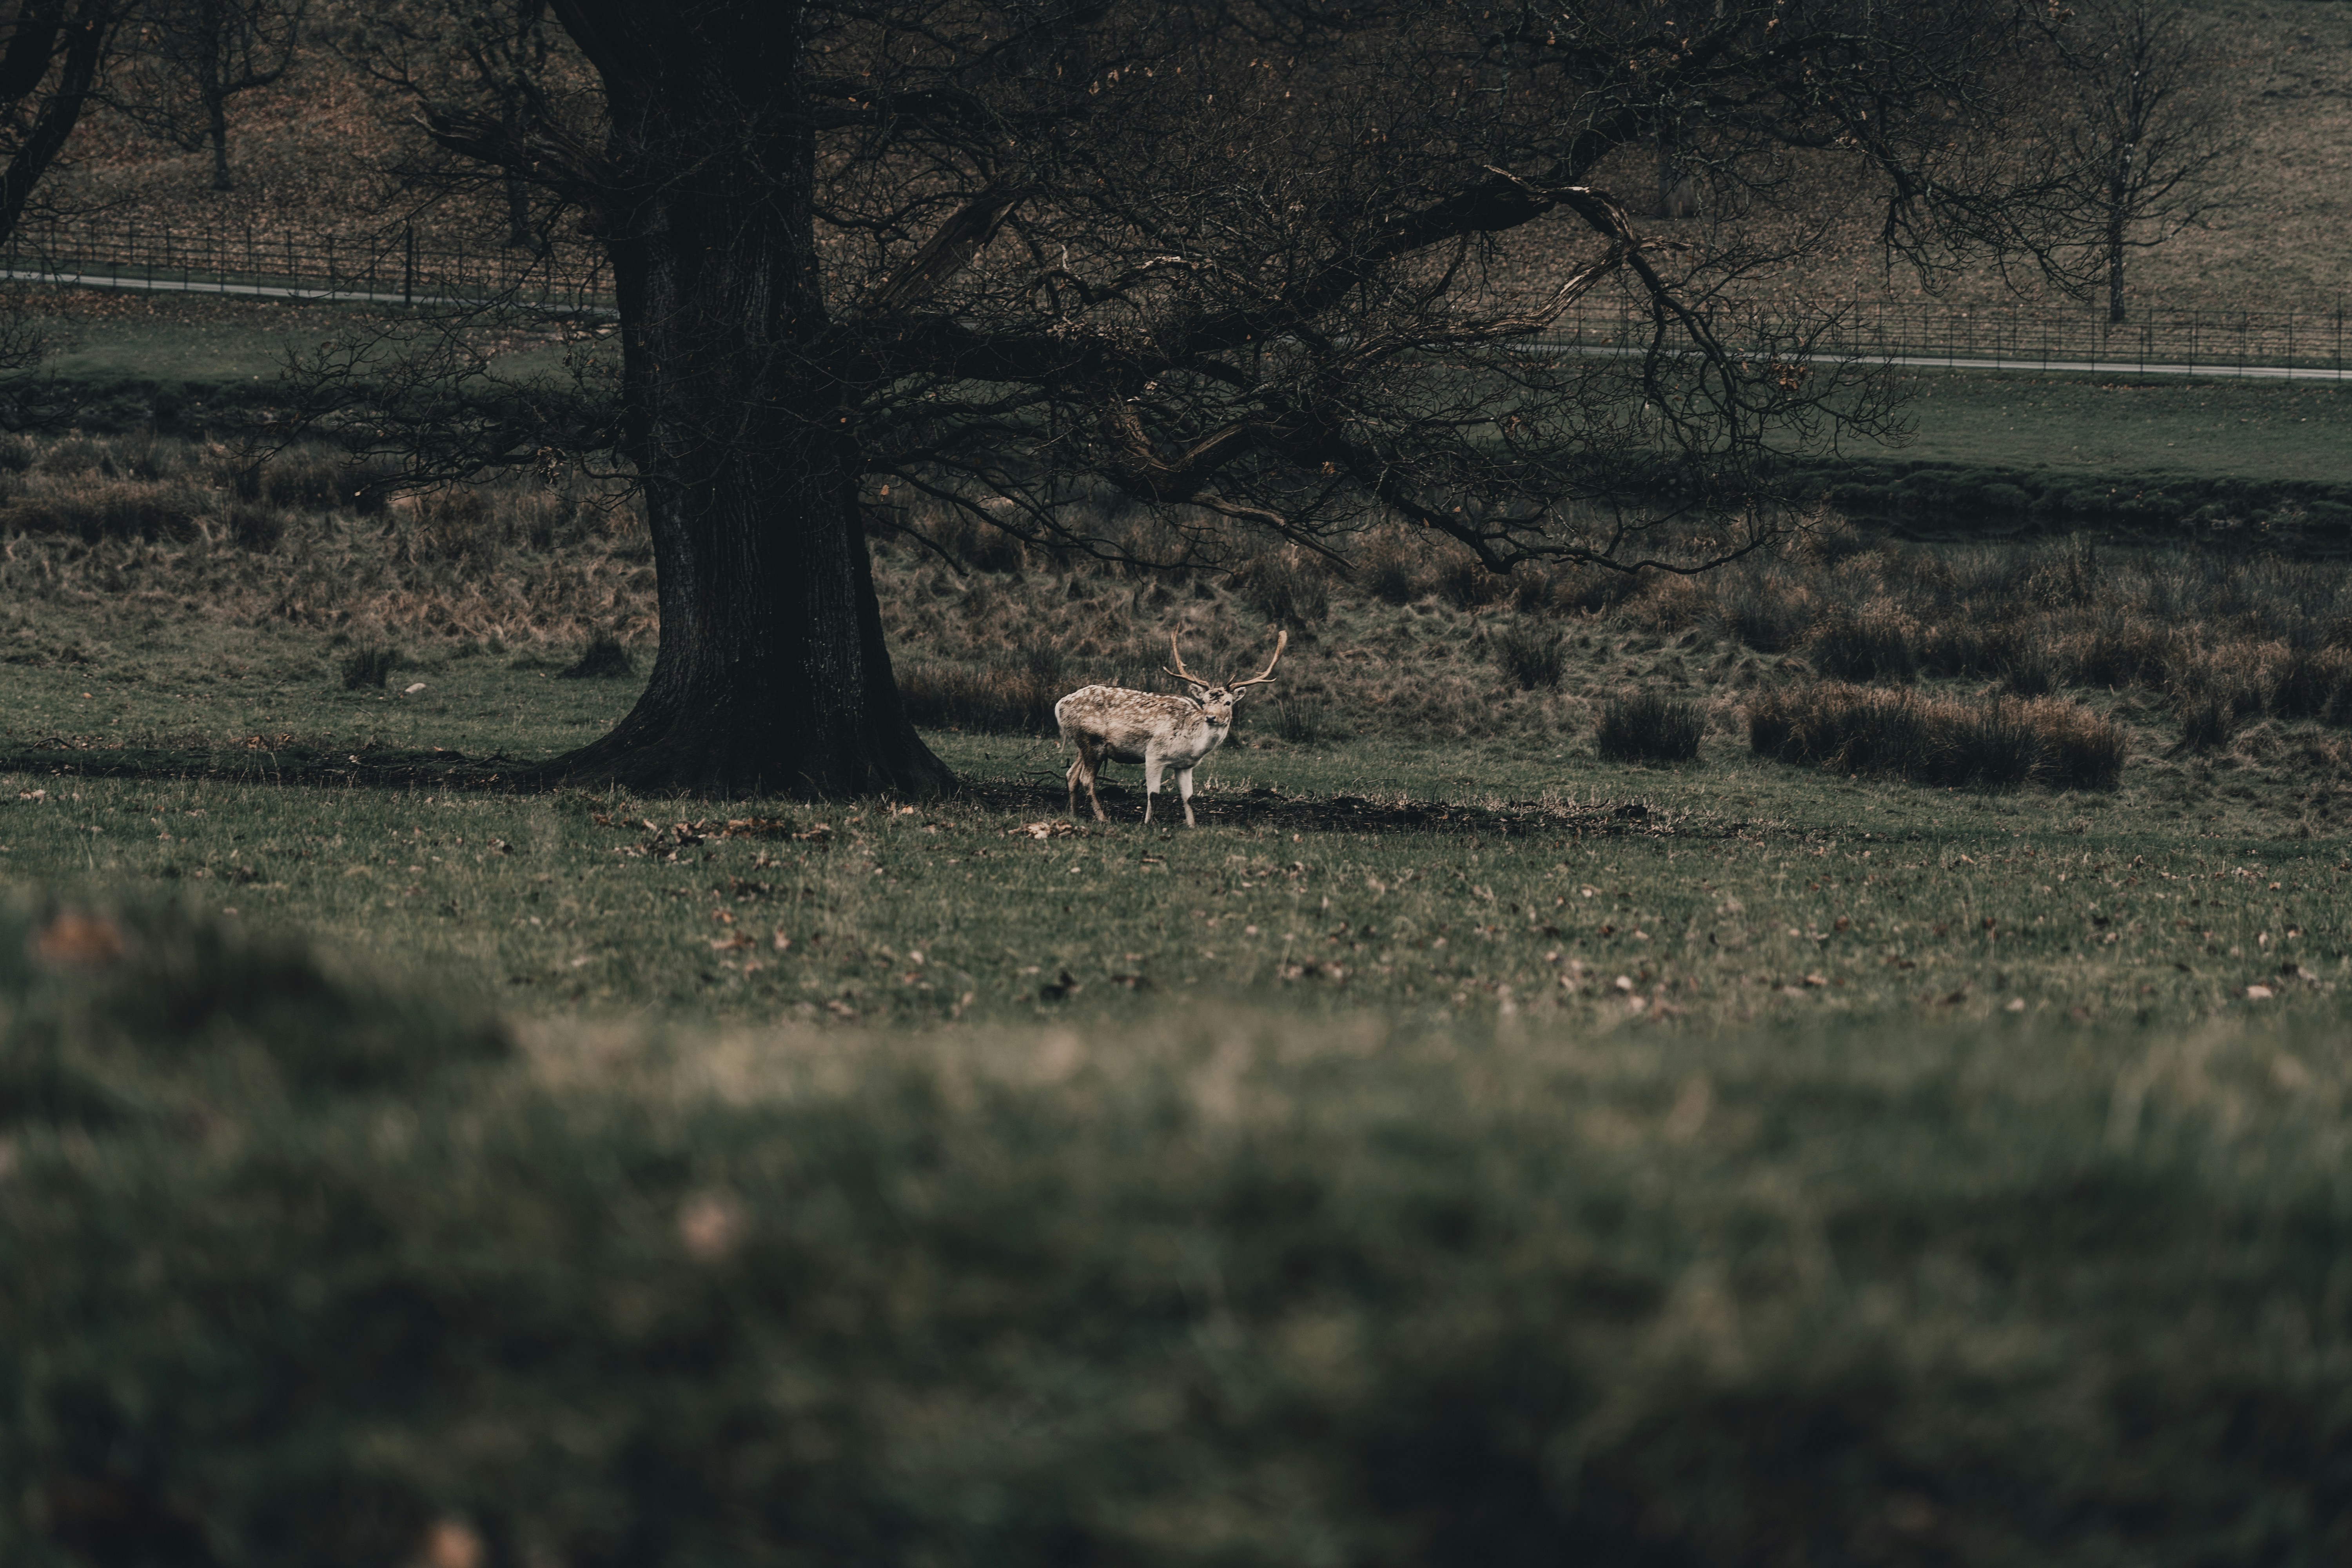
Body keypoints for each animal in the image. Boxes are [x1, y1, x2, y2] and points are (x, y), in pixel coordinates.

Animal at [1055, 629, 1288, 827]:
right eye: (1204, 701)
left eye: (1228, 703)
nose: (1211, 717)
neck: (1191, 745)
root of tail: (1060, 705)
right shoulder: (1154, 755)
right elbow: (1153, 794)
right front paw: (1148, 823)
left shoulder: (1185, 766)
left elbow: (1188, 797)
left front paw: (1192, 826)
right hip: (1092, 742)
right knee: (1086, 780)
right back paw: (1103, 819)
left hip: (1084, 745)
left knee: (1071, 775)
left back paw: (1074, 815)